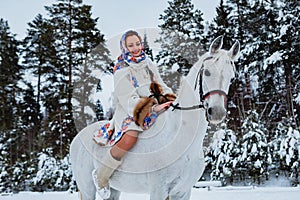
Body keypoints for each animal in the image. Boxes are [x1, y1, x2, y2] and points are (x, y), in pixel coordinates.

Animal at [69, 36, 239, 200]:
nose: (217, 112)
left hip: (115, 190)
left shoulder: (183, 191)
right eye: (207, 72)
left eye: (232, 77)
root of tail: (78, 137)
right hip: (87, 188)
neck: (180, 138)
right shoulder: (159, 190)